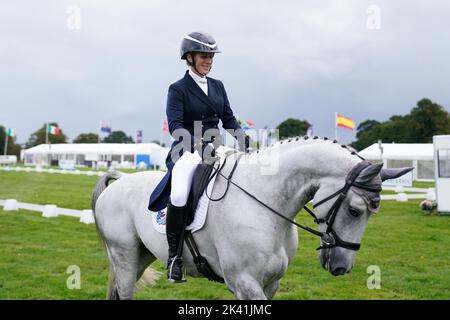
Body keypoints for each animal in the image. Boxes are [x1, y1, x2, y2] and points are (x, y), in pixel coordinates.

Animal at [90, 138, 412, 300]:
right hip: (124, 254)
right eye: (355, 211)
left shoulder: (271, 283)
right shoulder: (244, 282)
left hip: (141, 256)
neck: (265, 202)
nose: (342, 268)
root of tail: (118, 181)